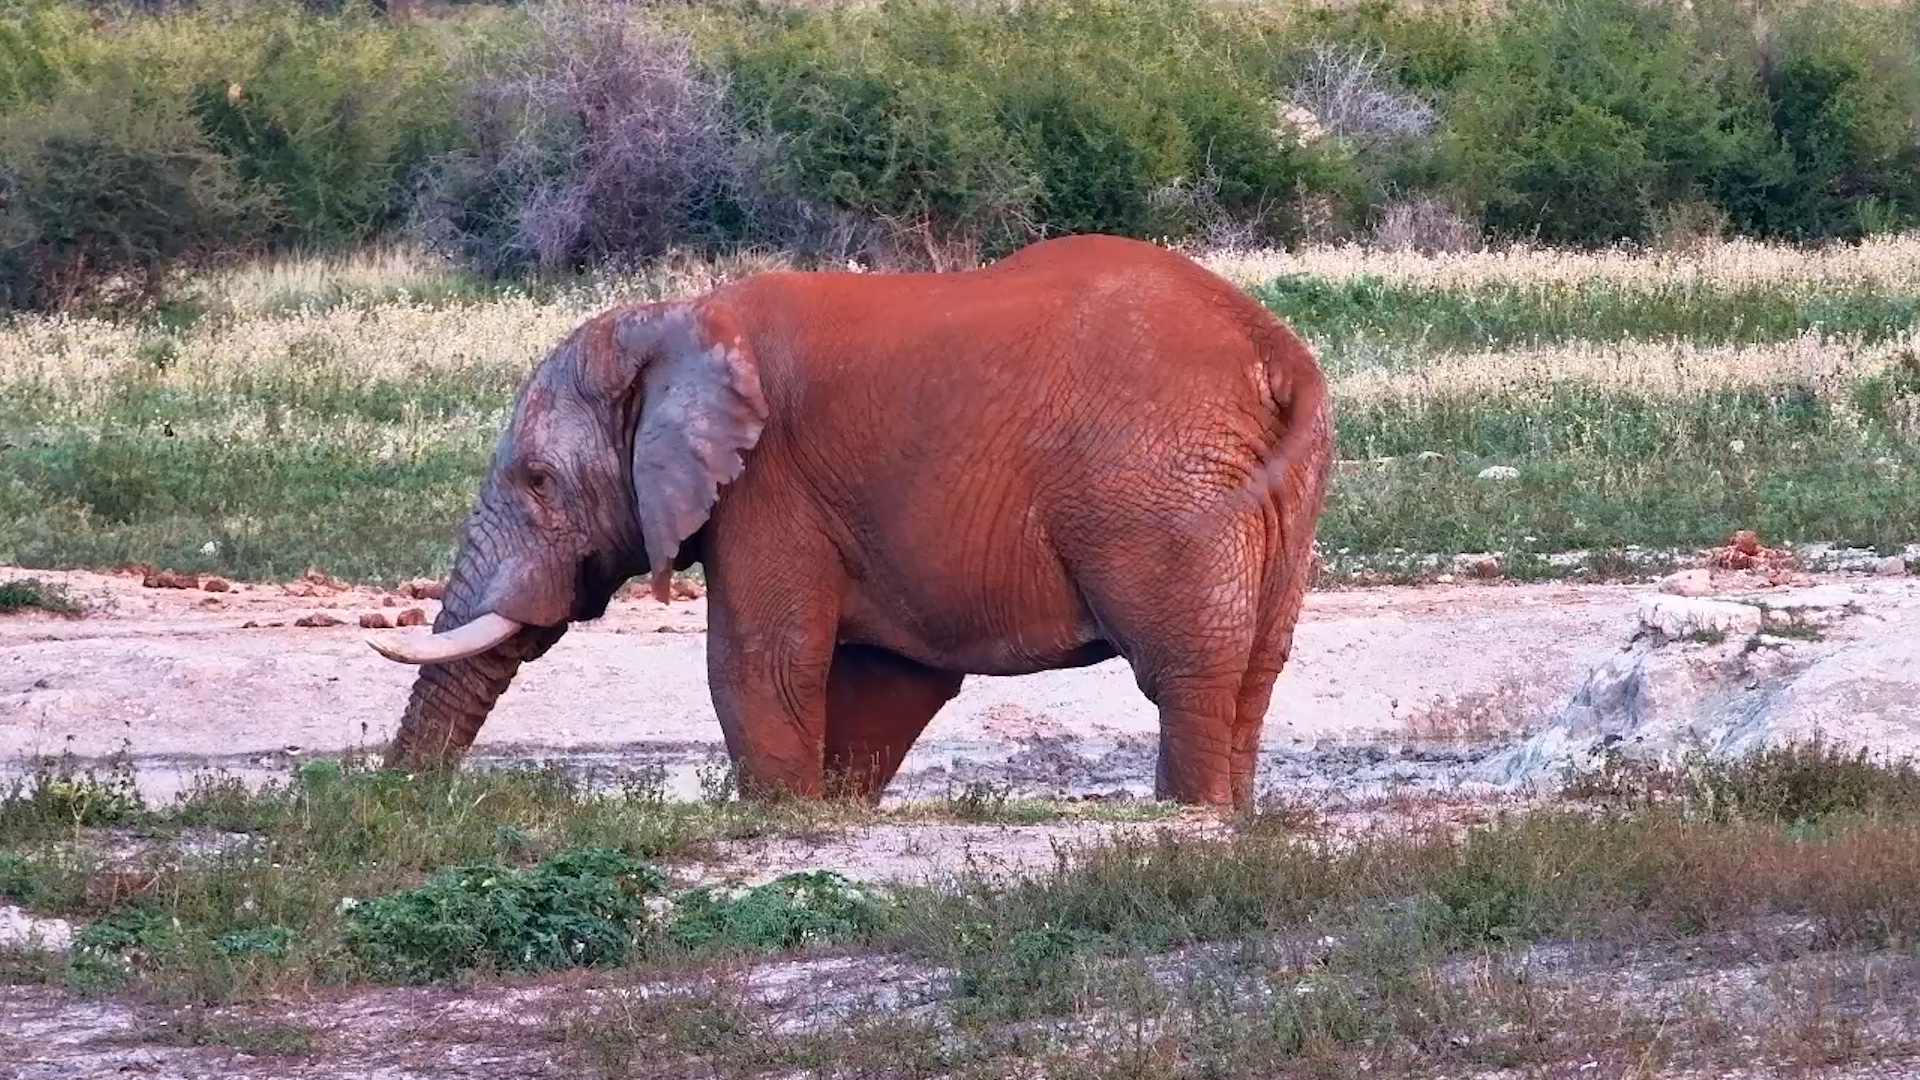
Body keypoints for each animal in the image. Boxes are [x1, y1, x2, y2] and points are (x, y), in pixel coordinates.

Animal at [367, 233, 1334, 810]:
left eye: (537, 480)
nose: (409, 808)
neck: (676, 322)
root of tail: (1272, 349)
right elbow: (884, 683)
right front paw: (830, 808)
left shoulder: (767, 483)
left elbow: (758, 668)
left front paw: (779, 818)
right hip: (1278, 485)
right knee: (1253, 677)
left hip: (1160, 493)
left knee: (1186, 676)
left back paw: (1190, 816)